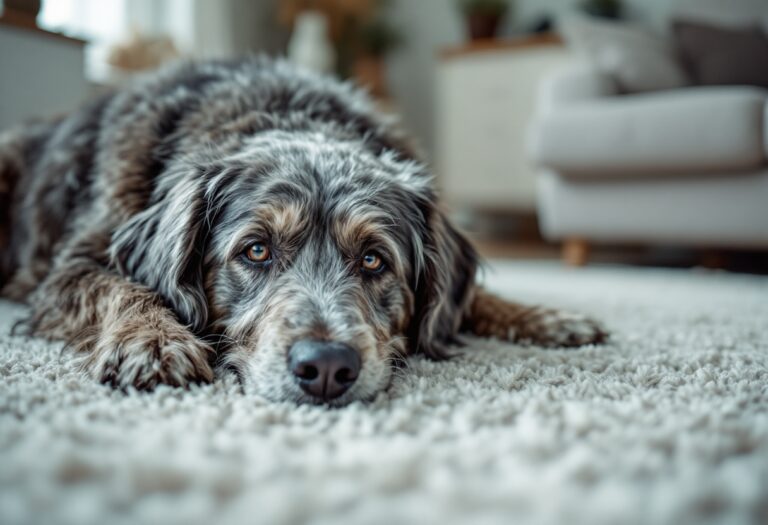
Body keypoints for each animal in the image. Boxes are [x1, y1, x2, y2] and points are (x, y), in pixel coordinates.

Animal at [0, 58, 608, 406]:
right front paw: (151, 339)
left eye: (373, 260)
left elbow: (472, 297)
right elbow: (122, 286)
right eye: (256, 250)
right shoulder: (75, 264)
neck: (281, 112)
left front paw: (543, 316)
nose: (327, 368)